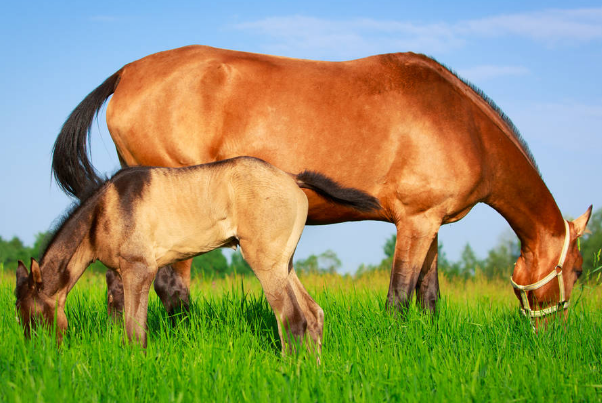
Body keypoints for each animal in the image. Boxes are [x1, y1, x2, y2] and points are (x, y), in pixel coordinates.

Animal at [16, 156, 378, 348]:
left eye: (30, 312)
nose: (36, 352)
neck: (104, 210)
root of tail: (291, 178)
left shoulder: (138, 270)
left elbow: (135, 331)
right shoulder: (127, 274)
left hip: (265, 264)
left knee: (293, 319)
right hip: (284, 264)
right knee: (314, 315)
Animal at [52, 45, 592, 326]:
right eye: (580, 271)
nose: (554, 333)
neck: (461, 121)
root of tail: (128, 72)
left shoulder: (431, 222)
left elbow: (429, 294)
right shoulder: (415, 222)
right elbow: (400, 294)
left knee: (119, 282)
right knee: (169, 286)